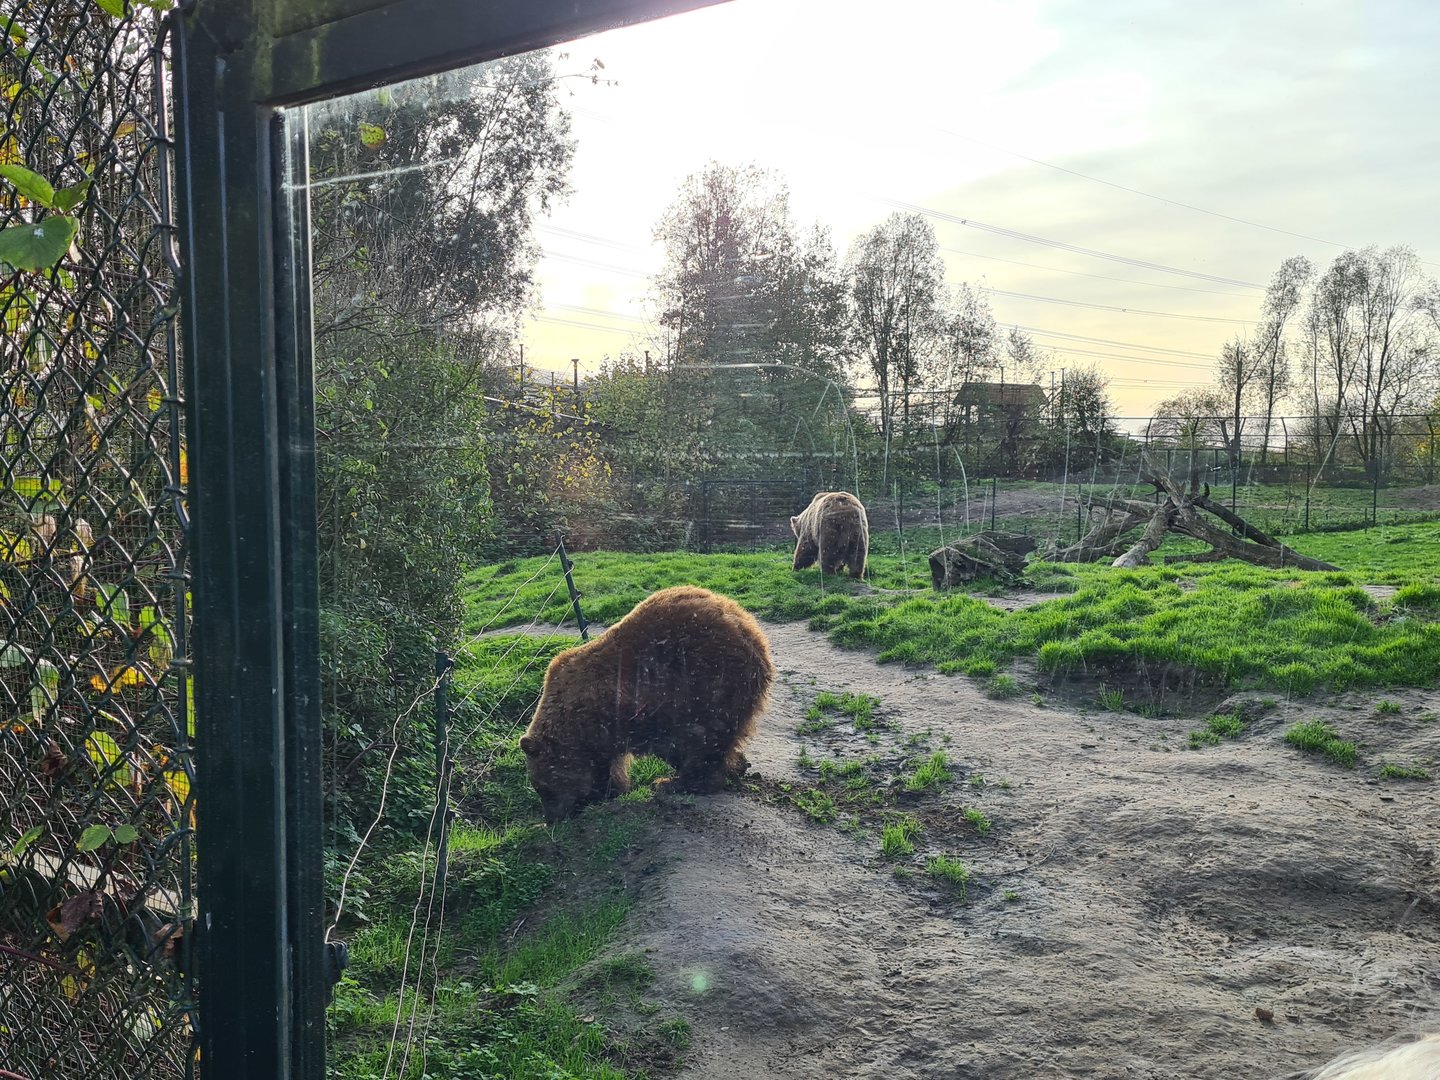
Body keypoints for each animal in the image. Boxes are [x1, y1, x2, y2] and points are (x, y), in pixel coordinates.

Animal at [519, 585, 774, 824]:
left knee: (705, 735)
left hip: (709, 679)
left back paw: (674, 782)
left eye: (544, 788)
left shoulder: (630, 713)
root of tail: (748, 627)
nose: (551, 819)